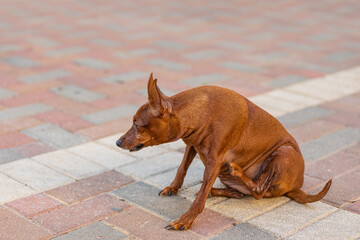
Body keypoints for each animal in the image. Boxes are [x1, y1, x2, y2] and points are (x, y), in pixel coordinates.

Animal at [116, 73, 332, 231]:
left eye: (136, 124)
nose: (117, 142)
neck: (201, 112)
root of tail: (295, 187)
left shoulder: (214, 161)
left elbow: (200, 199)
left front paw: (186, 219)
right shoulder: (192, 145)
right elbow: (182, 168)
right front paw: (173, 187)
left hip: (283, 152)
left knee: (258, 191)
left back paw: (235, 173)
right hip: (226, 174)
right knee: (242, 193)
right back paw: (222, 190)